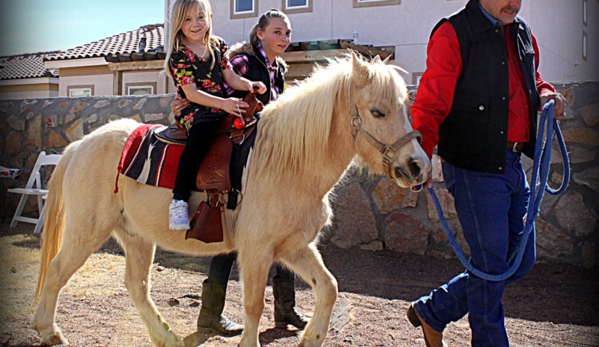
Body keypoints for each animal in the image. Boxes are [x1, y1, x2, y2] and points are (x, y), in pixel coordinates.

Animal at [34, 53, 432, 346]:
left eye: (404, 107)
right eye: (378, 111)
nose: (418, 166)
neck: (285, 160)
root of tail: (78, 146)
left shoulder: (293, 248)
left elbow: (329, 287)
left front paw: (311, 337)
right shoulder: (257, 251)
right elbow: (254, 305)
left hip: (135, 236)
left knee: (137, 286)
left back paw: (167, 337)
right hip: (87, 231)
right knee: (56, 271)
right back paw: (49, 331)